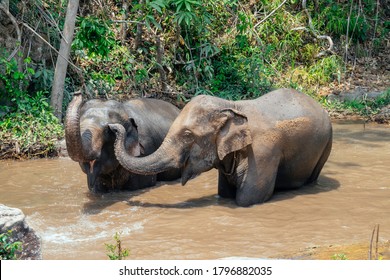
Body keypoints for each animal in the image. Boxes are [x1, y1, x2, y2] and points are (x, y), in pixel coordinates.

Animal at [109, 88, 332, 207]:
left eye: (187, 135)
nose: (112, 127)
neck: (232, 106)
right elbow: (224, 194)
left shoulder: (264, 153)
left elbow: (247, 199)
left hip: (326, 146)